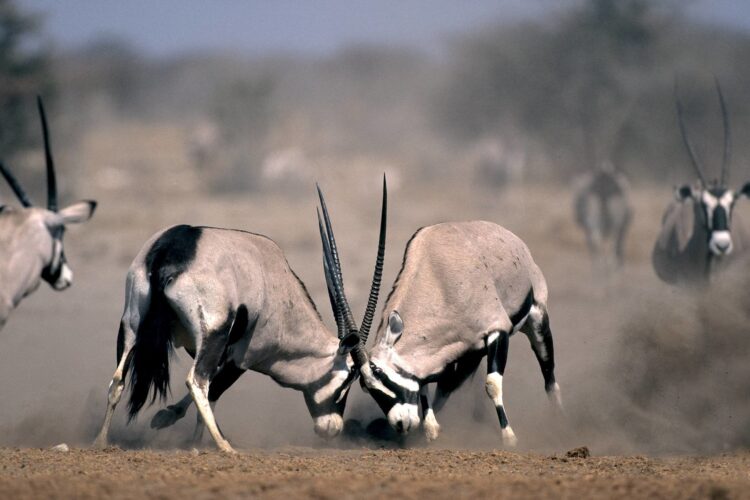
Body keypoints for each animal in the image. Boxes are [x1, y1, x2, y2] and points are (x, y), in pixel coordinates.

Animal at [93, 181, 388, 454]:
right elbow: (213, 390)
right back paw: (225, 447)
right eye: (350, 378)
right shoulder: (242, 356)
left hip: (131, 324)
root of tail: (170, 255)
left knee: (118, 380)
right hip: (214, 333)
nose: (332, 428)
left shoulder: (204, 349)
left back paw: (101, 441)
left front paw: (168, 419)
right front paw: (191, 438)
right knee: (197, 382)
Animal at [328, 219, 564, 446]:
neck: (438, 278)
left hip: (536, 319)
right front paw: (429, 430)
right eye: (368, 388)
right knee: (449, 387)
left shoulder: (496, 331)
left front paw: (509, 436)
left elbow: (492, 384)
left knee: (548, 370)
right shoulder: (450, 352)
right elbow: (430, 385)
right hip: (472, 354)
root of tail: (512, 239)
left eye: (382, 375)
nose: (401, 424)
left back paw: (557, 420)